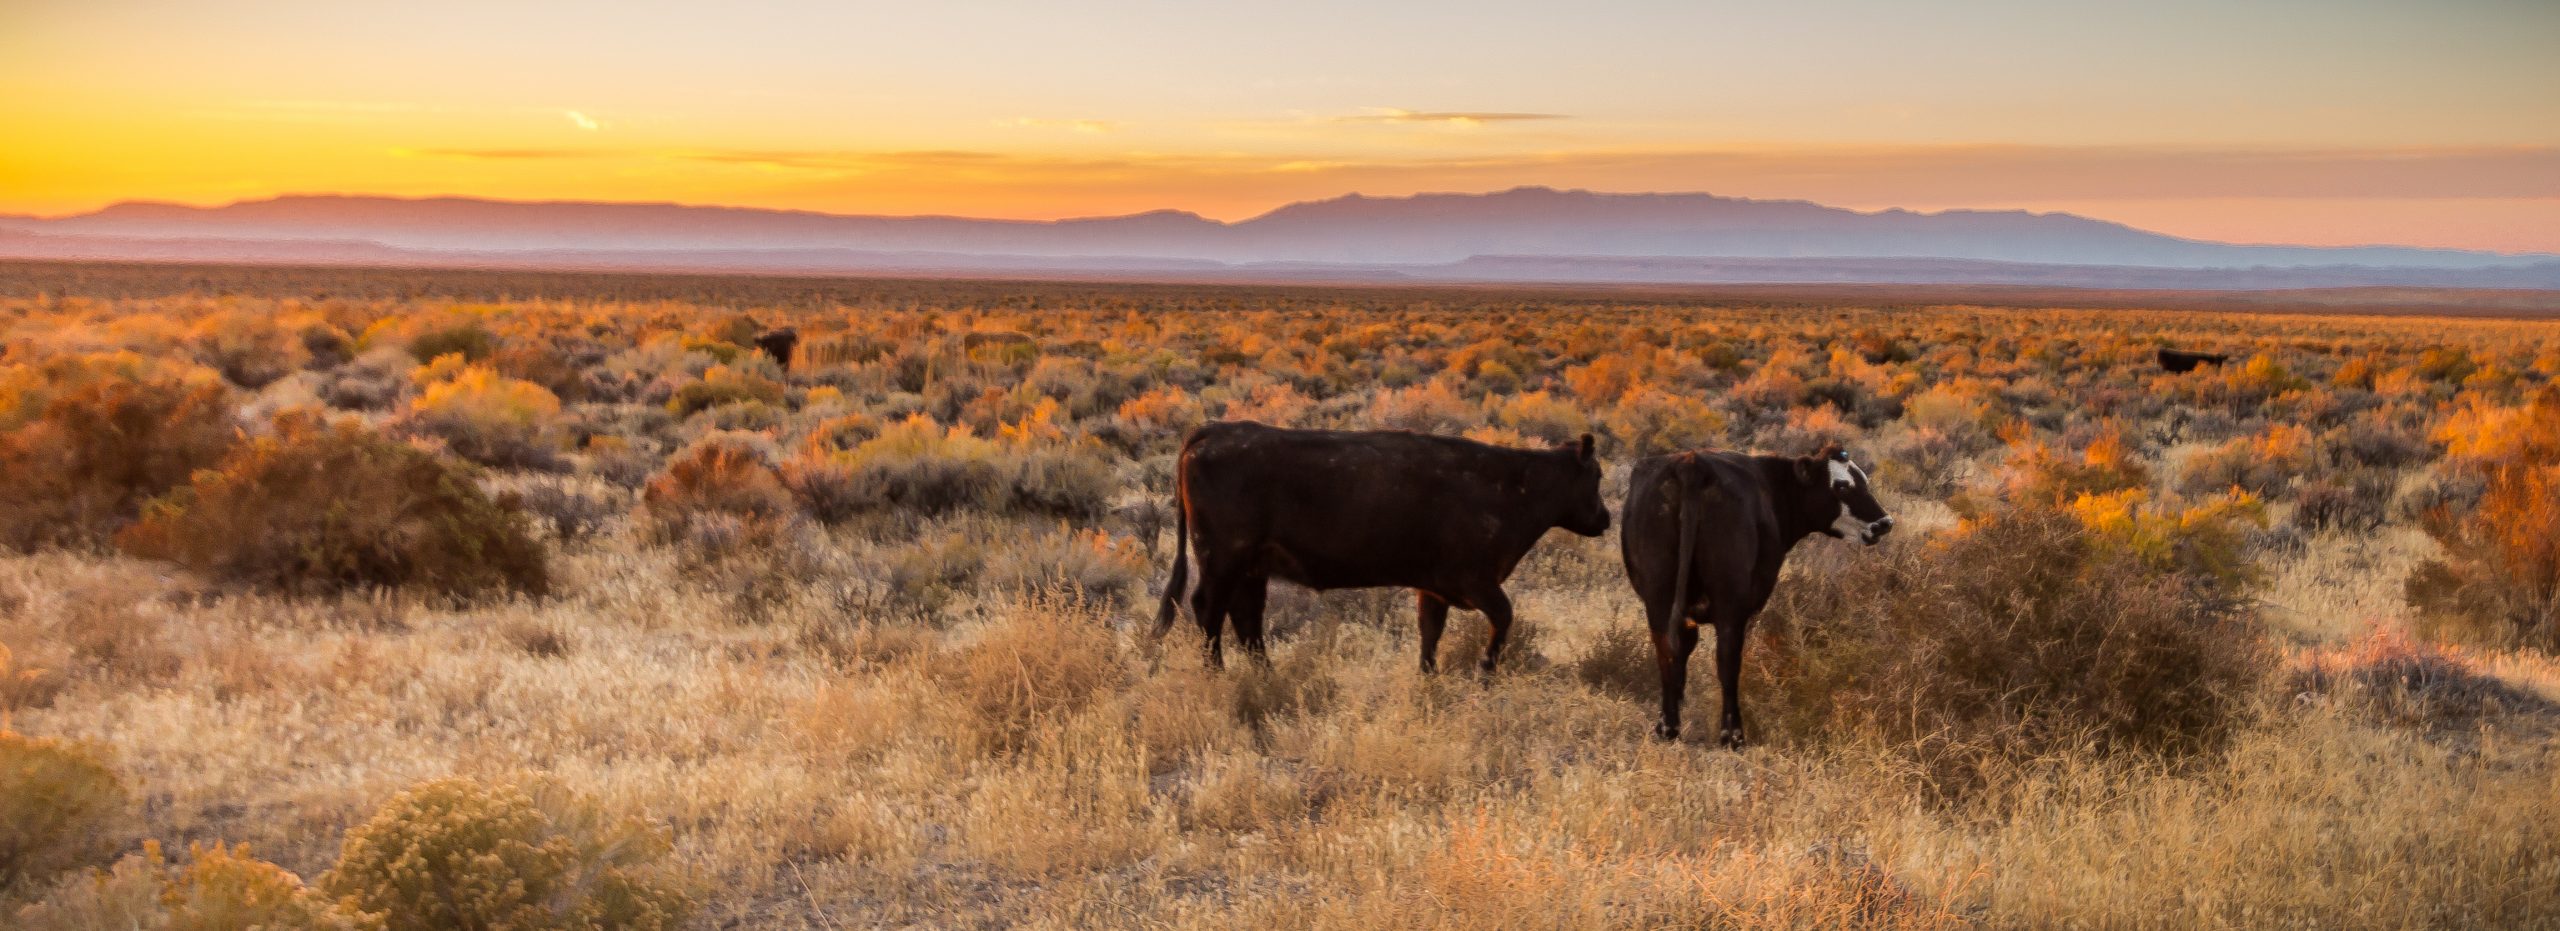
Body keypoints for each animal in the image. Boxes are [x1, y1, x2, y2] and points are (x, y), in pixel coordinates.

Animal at [1157, 424, 1607, 675]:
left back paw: (1265, 674)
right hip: (1222, 561)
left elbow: (1430, 633)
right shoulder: (1477, 582)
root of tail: (1212, 430)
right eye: (1597, 477)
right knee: (1209, 609)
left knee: (1246, 617)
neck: (1514, 484)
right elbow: (1504, 617)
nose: (1605, 518)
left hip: (1251, 568)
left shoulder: (1434, 587)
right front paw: (1484, 669)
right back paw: (1216, 673)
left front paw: (1428, 676)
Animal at [1628, 445, 1894, 746]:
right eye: (1842, 486)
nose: (1884, 523)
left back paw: (1668, 728)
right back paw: (1733, 735)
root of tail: (1692, 464)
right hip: (1729, 603)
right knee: (1727, 660)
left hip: (1659, 596)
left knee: (1667, 653)